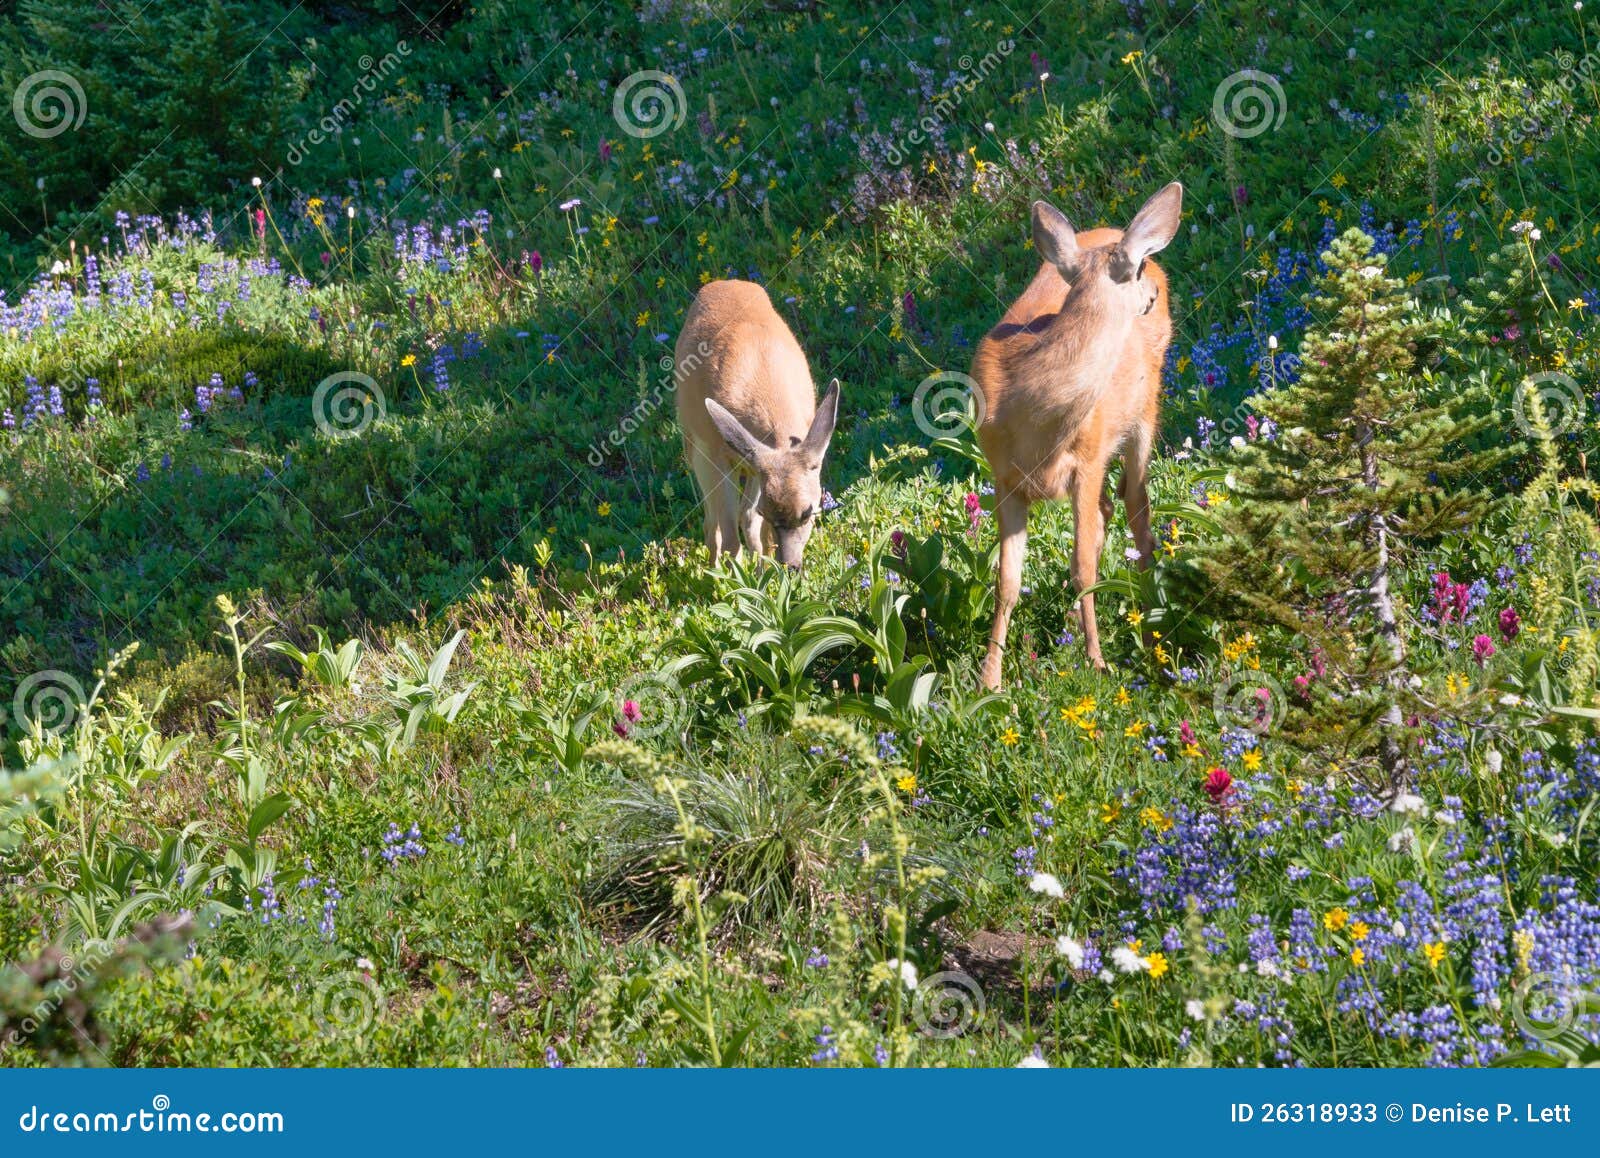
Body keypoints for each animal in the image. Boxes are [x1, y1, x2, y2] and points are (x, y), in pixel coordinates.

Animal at [675, 279, 841, 568]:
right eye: (769, 510)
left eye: (808, 511)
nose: (790, 565)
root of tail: (720, 283)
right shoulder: (718, 455)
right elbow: (730, 536)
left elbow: (751, 521)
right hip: (696, 446)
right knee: (713, 523)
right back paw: (716, 569)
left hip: (750, 465)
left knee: (745, 517)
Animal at [972, 182, 1183, 690]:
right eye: (1137, 267)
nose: (1153, 288)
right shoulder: (1004, 478)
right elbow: (1007, 582)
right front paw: (989, 681)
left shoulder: (1087, 461)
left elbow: (1084, 566)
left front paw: (1097, 662)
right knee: (1110, 511)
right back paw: (1072, 622)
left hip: (1144, 412)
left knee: (1137, 510)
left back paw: (1149, 615)